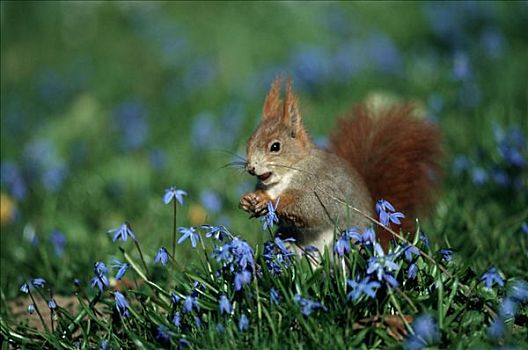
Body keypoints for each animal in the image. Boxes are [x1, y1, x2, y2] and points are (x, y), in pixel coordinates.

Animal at [239, 77, 442, 252]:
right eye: (249, 141)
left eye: (275, 146)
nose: (250, 167)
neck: (287, 175)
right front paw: (250, 199)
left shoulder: (321, 188)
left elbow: (308, 208)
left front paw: (269, 201)